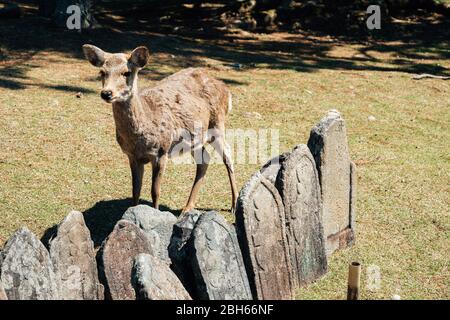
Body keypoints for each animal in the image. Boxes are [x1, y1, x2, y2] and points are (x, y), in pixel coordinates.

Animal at [83, 44, 241, 215]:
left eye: (127, 72)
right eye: (102, 72)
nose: (106, 93)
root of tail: (225, 89)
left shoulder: (162, 151)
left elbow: (155, 191)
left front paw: (155, 212)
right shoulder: (132, 156)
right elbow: (135, 189)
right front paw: (132, 212)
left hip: (217, 123)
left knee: (227, 154)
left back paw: (234, 205)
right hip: (195, 138)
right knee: (204, 159)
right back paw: (187, 207)